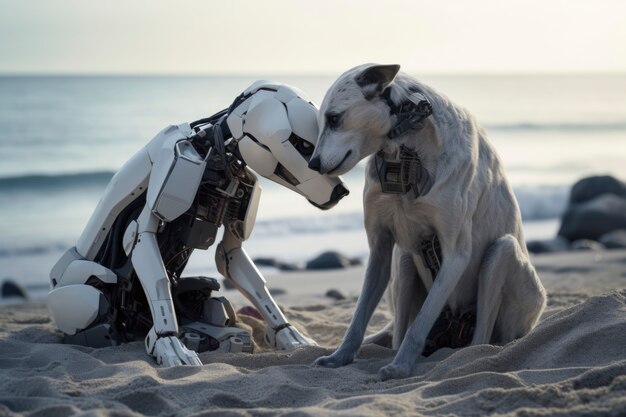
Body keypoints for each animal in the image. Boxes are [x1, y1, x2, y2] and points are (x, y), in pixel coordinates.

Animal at [310, 63, 544, 378]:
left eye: (334, 118)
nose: (312, 164)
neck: (405, 155)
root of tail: (453, 331)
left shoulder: (456, 256)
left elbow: (420, 323)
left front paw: (401, 366)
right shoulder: (380, 249)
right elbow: (358, 318)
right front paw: (340, 356)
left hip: (502, 255)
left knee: (479, 341)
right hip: (403, 260)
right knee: (397, 332)